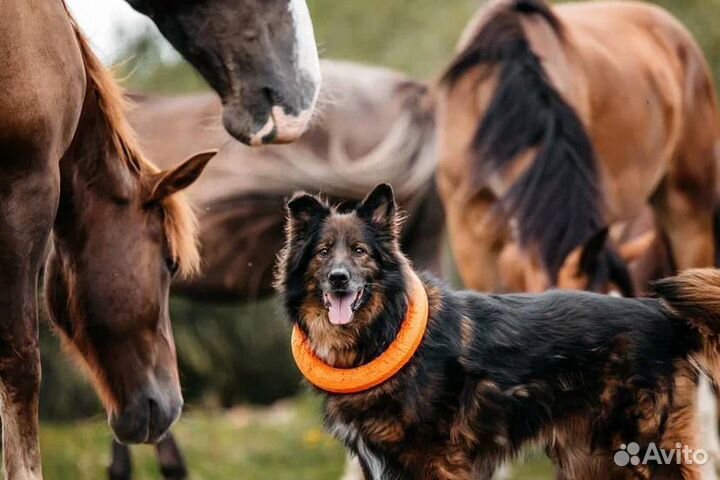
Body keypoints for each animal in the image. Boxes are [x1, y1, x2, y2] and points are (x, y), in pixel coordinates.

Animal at [278, 182, 720, 478]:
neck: (381, 331)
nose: (338, 280)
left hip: (645, 451)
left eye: (359, 252)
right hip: (595, 461)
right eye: (323, 253)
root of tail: (660, 313)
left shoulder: (434, 460)